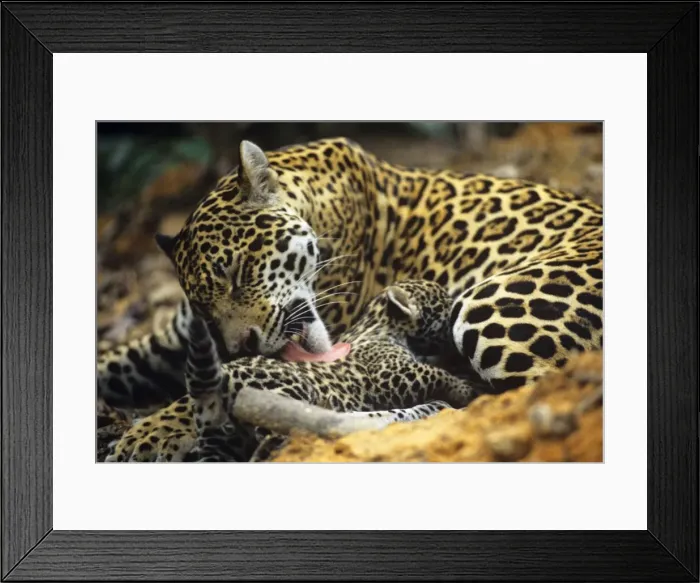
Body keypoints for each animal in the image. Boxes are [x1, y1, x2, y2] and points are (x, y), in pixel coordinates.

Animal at [98, 135, 602, 422]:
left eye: (237, 271)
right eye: (204, 307)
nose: (242, 344)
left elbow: (198, 394)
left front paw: (140, 440)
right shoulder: (179, 338)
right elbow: (111, 364)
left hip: (489, 306)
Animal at [105, 280, 472, 462]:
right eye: (442, 301)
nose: (456, 305)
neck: (379, 322)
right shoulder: (391, 374)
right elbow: (432, 375)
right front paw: (465, 388)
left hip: (219, 435)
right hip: (283, 397)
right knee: (276, 435)